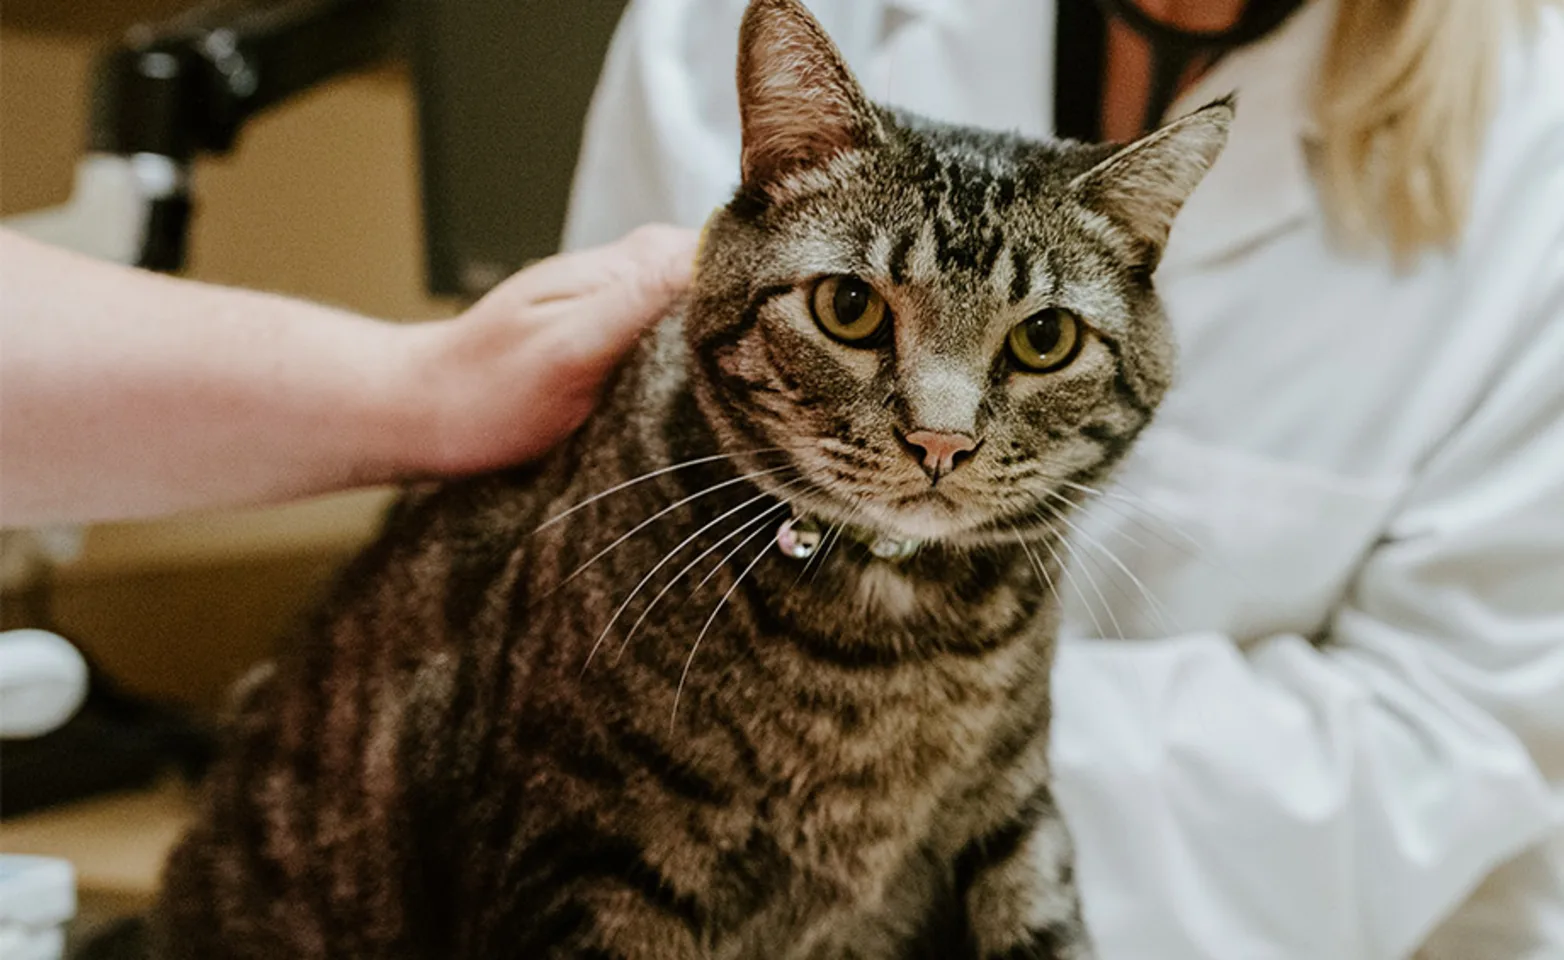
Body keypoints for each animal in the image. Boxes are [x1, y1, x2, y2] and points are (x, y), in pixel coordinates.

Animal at [155, 3, 1232, 956]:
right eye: (848, 308)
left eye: (1044, 337)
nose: (940, 440)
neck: (888, 651)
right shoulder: (591, 863)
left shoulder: (1012, 829)